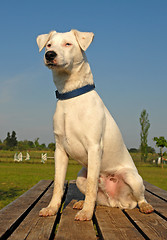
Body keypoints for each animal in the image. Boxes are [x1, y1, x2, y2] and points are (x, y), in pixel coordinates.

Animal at [36, 30, 154, 221]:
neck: (71, 95)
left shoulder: (94, 146)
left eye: (68, 44)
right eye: (48, 45)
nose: (49, 55)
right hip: (80, 177)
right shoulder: (60, 150)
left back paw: (145, 206)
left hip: (132, 178)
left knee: (140, 197)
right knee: (97, 197)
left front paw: (86, 213)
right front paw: (52, 208)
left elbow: (92, 185)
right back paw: (81, 203)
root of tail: (117, 202)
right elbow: (58, 185)